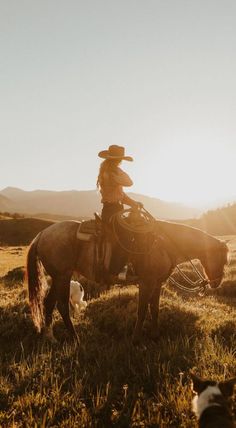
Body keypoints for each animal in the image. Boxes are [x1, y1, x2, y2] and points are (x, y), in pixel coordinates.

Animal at [26, 216, 229, 342]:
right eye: (224, 260)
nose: (216, 282)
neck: (165, 243)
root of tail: (42, 235)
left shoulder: (157, 283)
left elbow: (155, 309)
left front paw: (155, 336)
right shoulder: (146, 282)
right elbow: (142, 311)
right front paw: (135, 339)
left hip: (59, 277)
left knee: (49, 303)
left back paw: (51, 337)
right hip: (63, 276)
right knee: (61, 305)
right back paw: (74, 337)